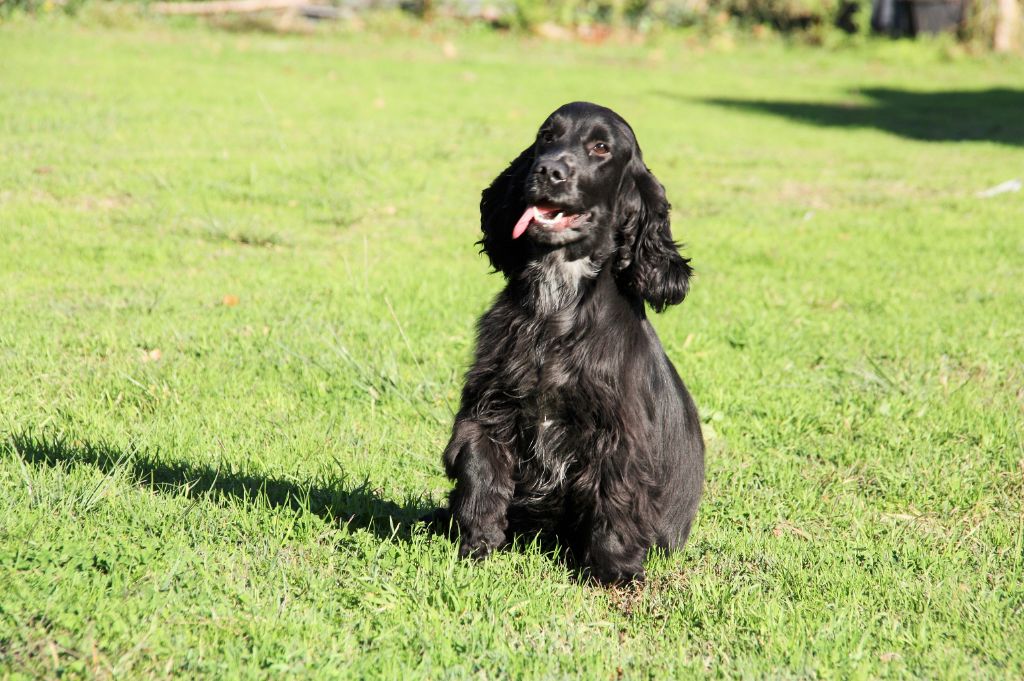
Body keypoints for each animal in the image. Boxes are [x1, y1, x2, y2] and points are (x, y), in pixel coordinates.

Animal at [436, 100, 700, 585]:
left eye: (601, 148)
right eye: (546, 136)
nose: (548, 171)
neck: (558, 294)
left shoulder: (617, 435)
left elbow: (615, 499)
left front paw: (615, 575)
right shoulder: (490, 407)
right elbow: (481, 473)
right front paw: (477, 547)